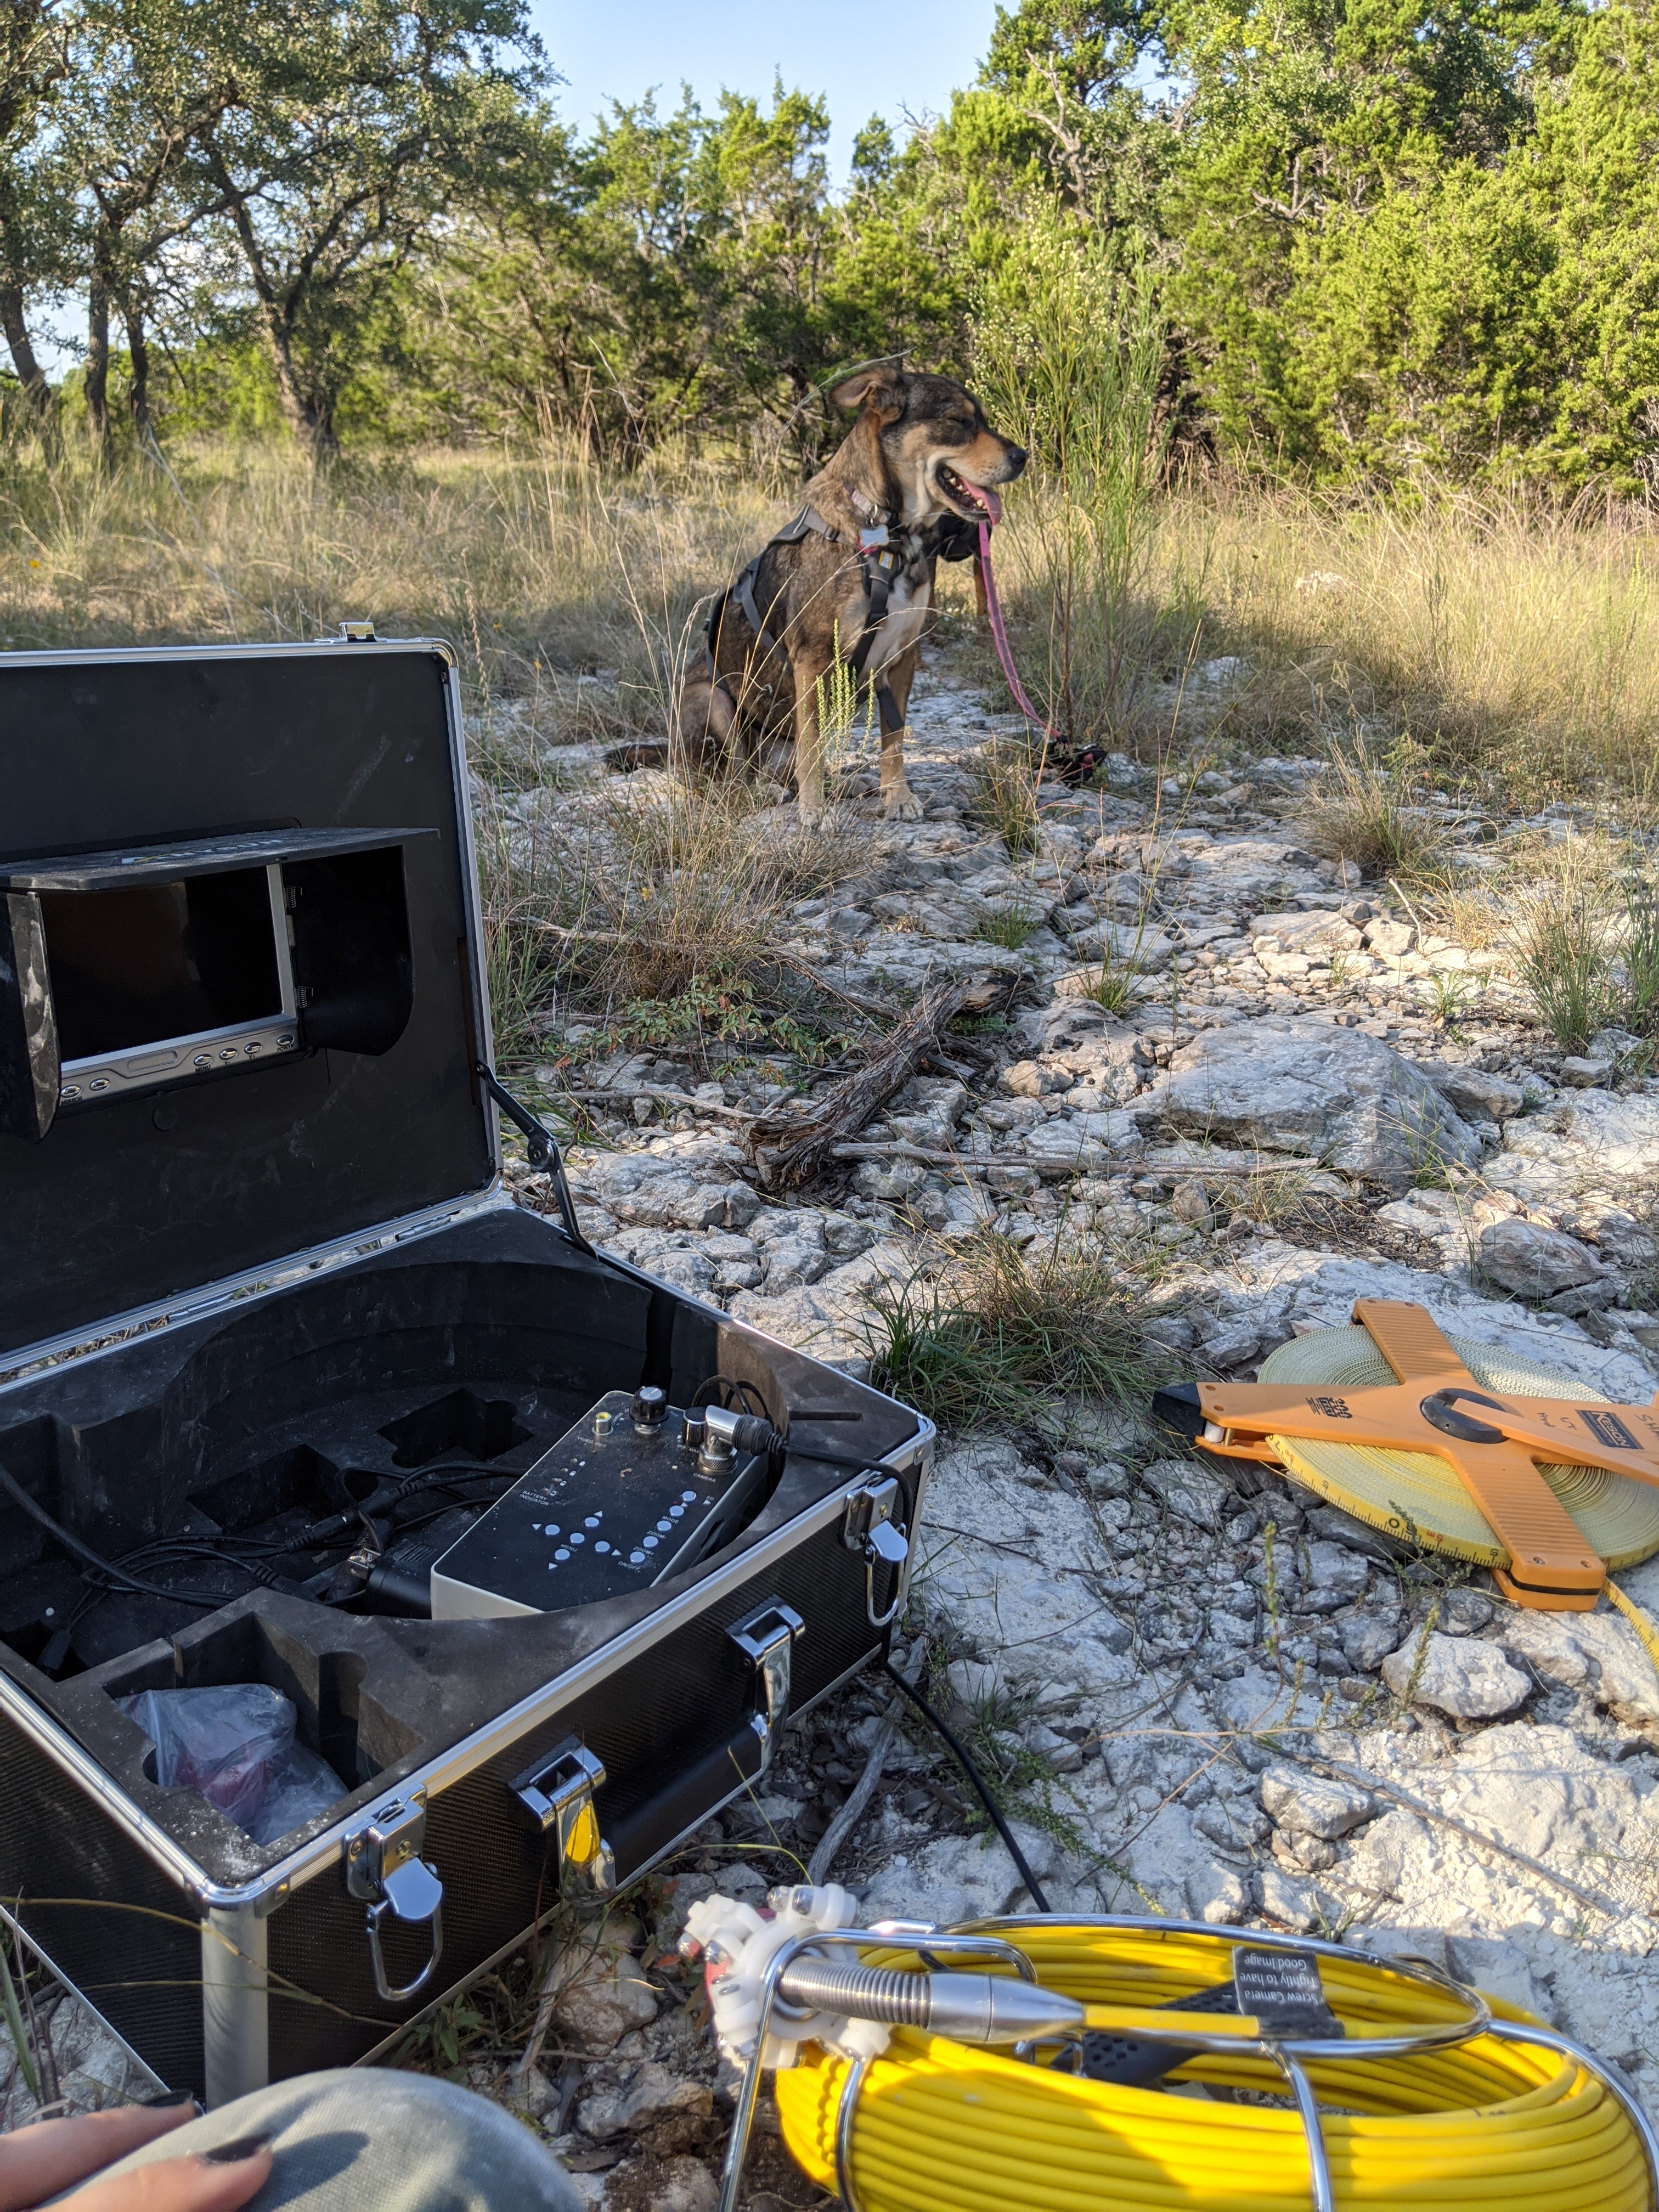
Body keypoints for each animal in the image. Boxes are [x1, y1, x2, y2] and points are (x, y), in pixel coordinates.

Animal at [672, 363, 1026, 822]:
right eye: (956, 421)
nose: (1023, 457)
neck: (890, 533)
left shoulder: (902, 658)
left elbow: (893, 741)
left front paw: (897, 797)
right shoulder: (812, 659)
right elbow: (811, 745)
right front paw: (814, 811)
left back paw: (840, 784)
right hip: (710, 698)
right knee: (731, 777)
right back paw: (762, 791)